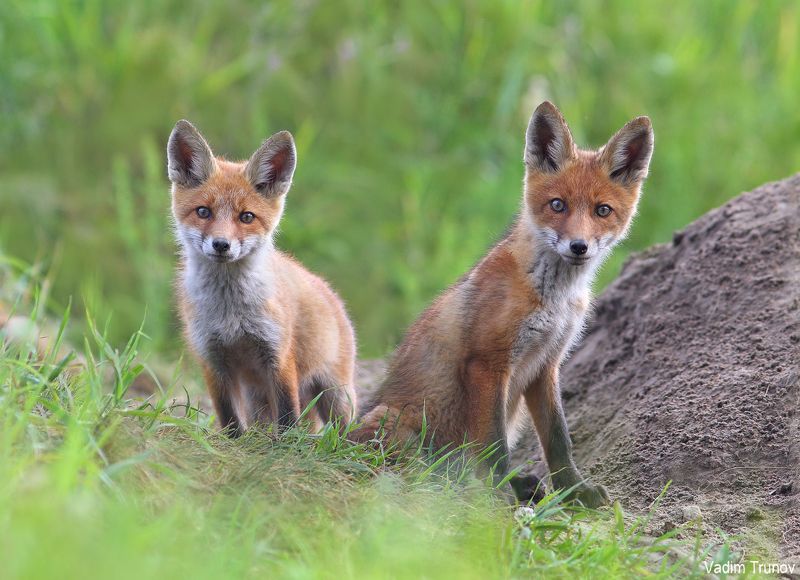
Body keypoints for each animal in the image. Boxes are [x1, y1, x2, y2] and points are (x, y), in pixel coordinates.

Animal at [167, 120, 357, 436]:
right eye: (203, 212)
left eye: (246, 217)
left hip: (335, 393)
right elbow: (229, 417)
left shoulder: (278, 354)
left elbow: (288, 414)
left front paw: (288, 444)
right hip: (256, 396)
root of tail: (328, 290)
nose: (221, 245)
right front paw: (236, 441)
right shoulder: (212, 358)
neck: (230, 311)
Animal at [353, 102, 654, 507]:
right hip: (396, 424)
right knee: (421, 475)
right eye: (557, 205)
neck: (553, 298)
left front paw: (574, 490)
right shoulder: (488, 363)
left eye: (602, 210)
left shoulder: (546, 364)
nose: (578, 247)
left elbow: (559, 441)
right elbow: (494, 446)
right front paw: (498, 499)